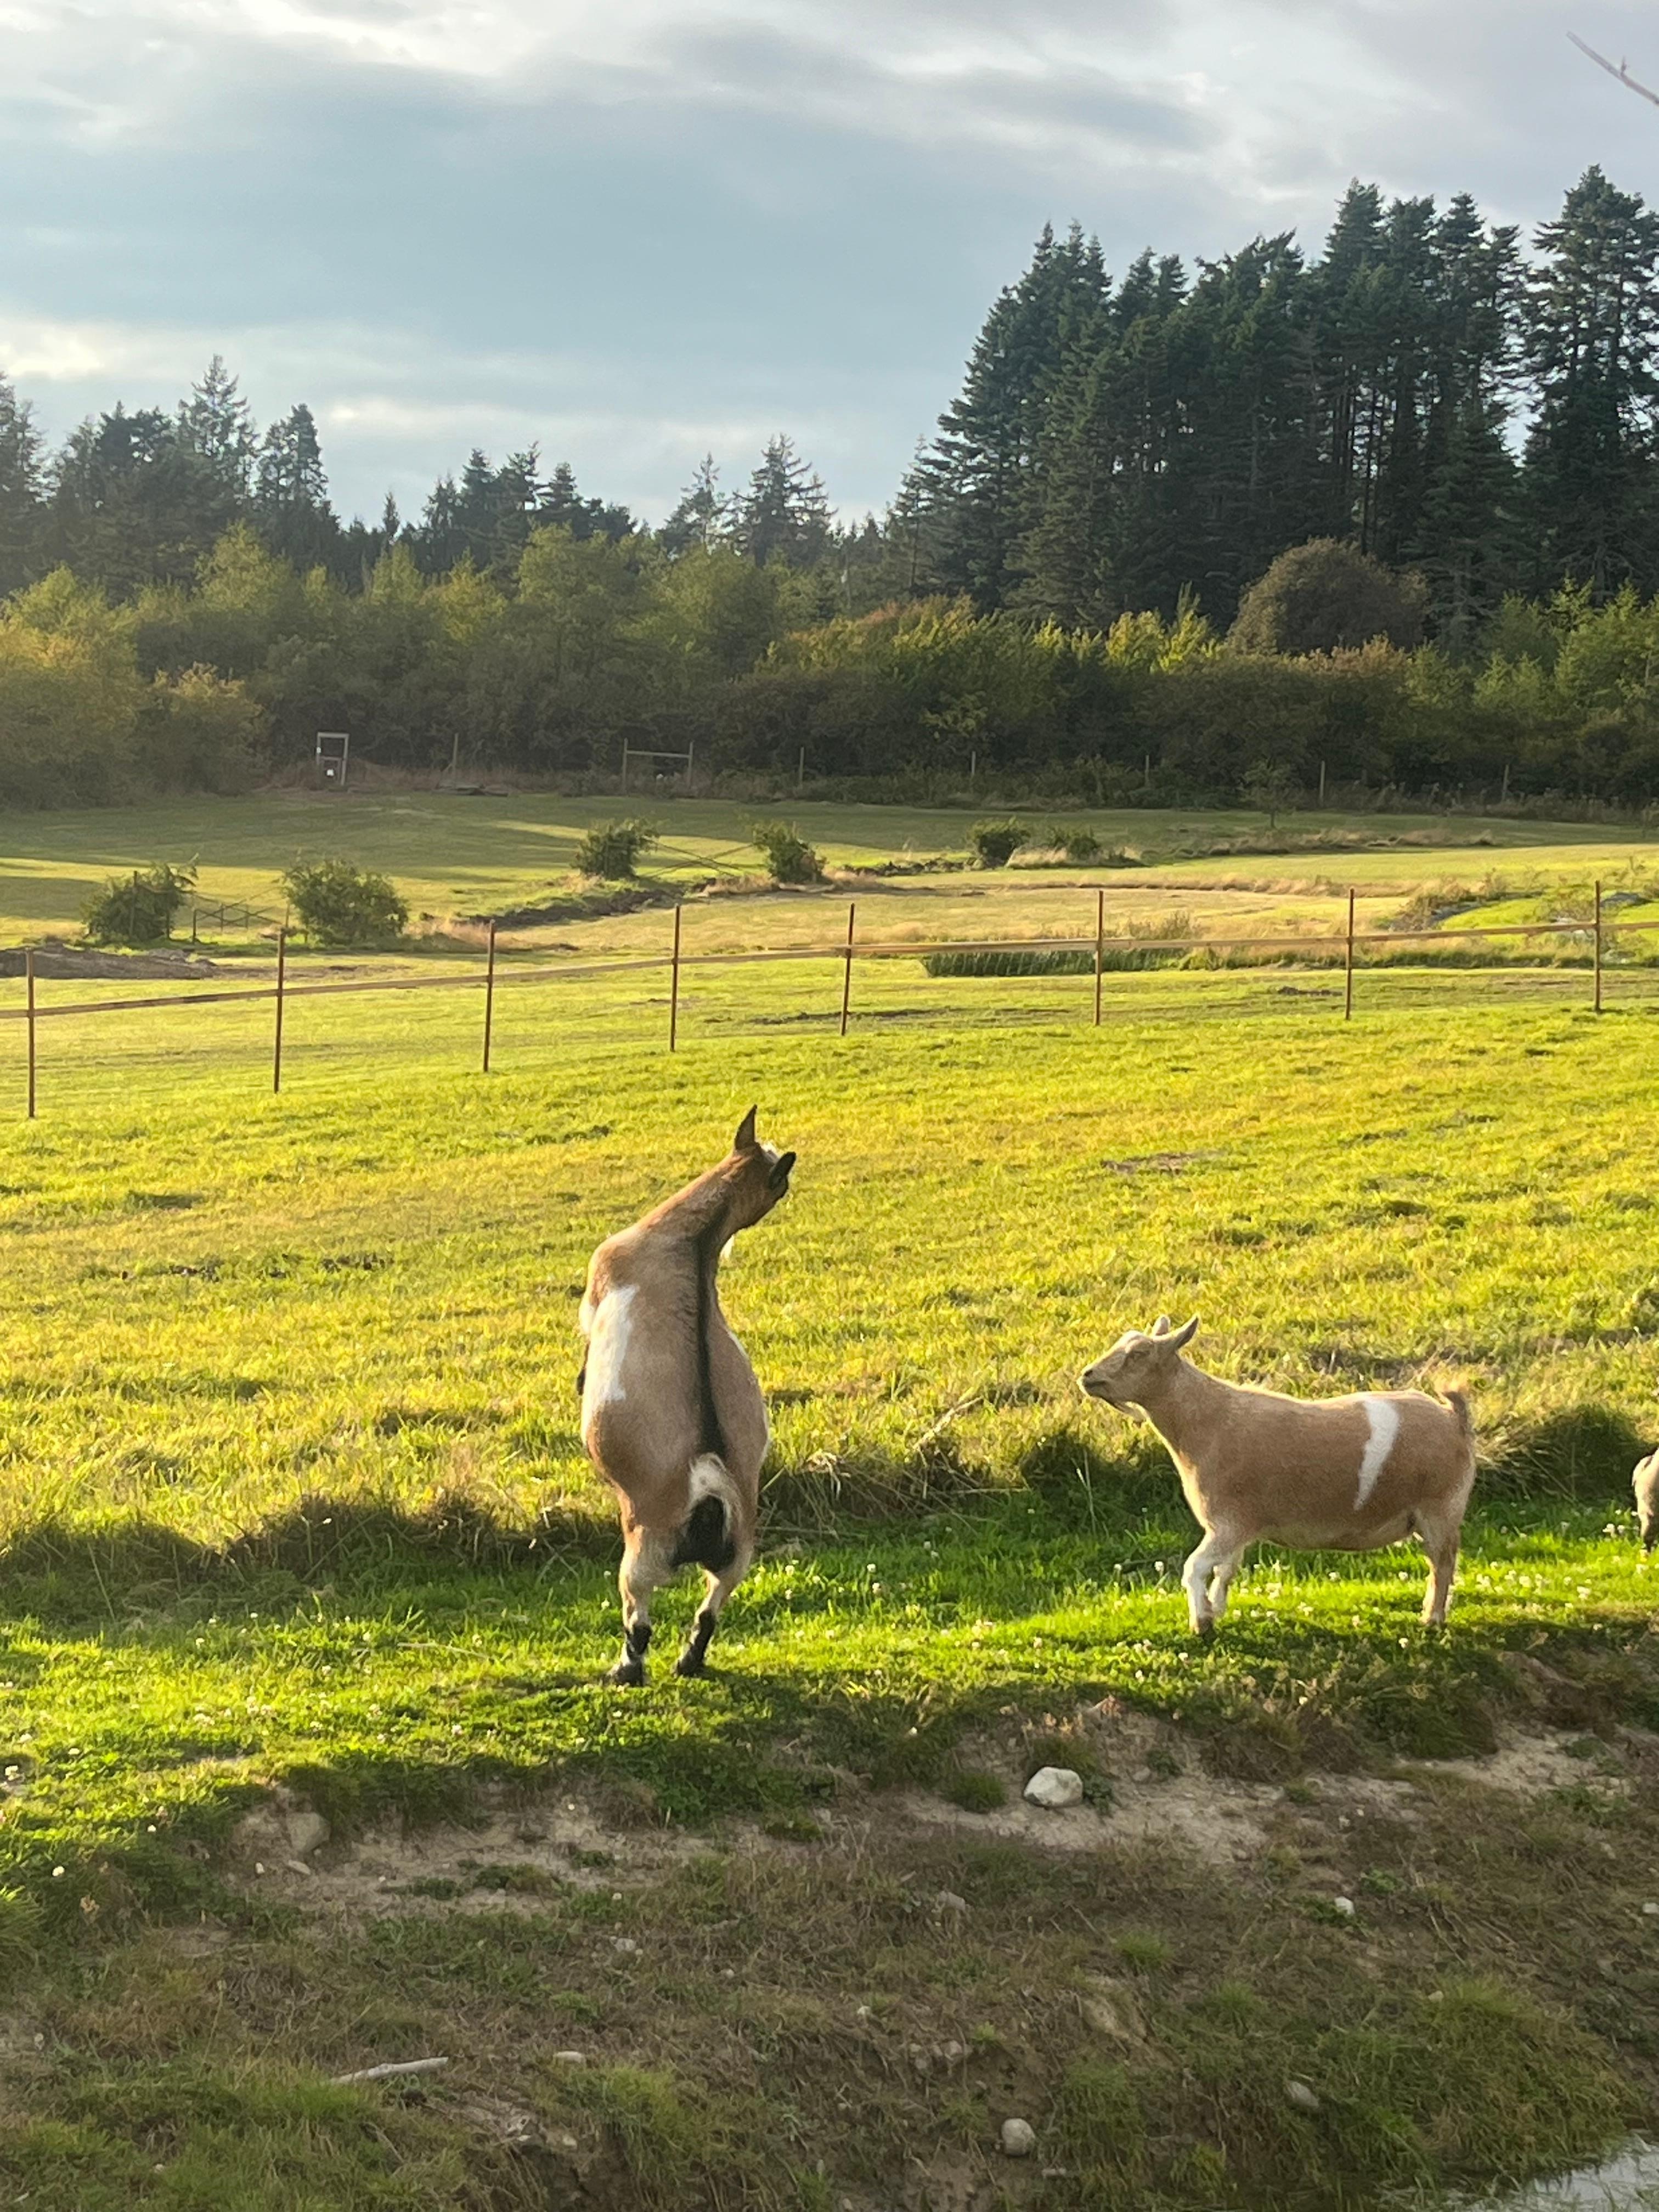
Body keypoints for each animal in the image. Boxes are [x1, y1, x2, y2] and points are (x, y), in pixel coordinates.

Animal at [579, 1107, 795, 1685]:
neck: (690, 1241)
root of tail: (709, 1490)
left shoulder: (597, 1288)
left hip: (643, 1546)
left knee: (638, 1615)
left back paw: (626, 1670)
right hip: (739, 1552)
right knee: (712, 1605)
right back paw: (690, 1660)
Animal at [1078, 1317, 1476, 1633]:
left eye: (1139, 1354)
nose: (1088, 1376)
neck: (1207, 1422)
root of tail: (1454, 1418)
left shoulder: (1227, 1525)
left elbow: (1195, 1568)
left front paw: (1201, 1622)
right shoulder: (1237, 1529)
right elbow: (1227, 1571)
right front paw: (1216, 1611)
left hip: (1440, 1509)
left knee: (1443, 1563)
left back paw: (1432, 1620)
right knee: (1440, 1564)